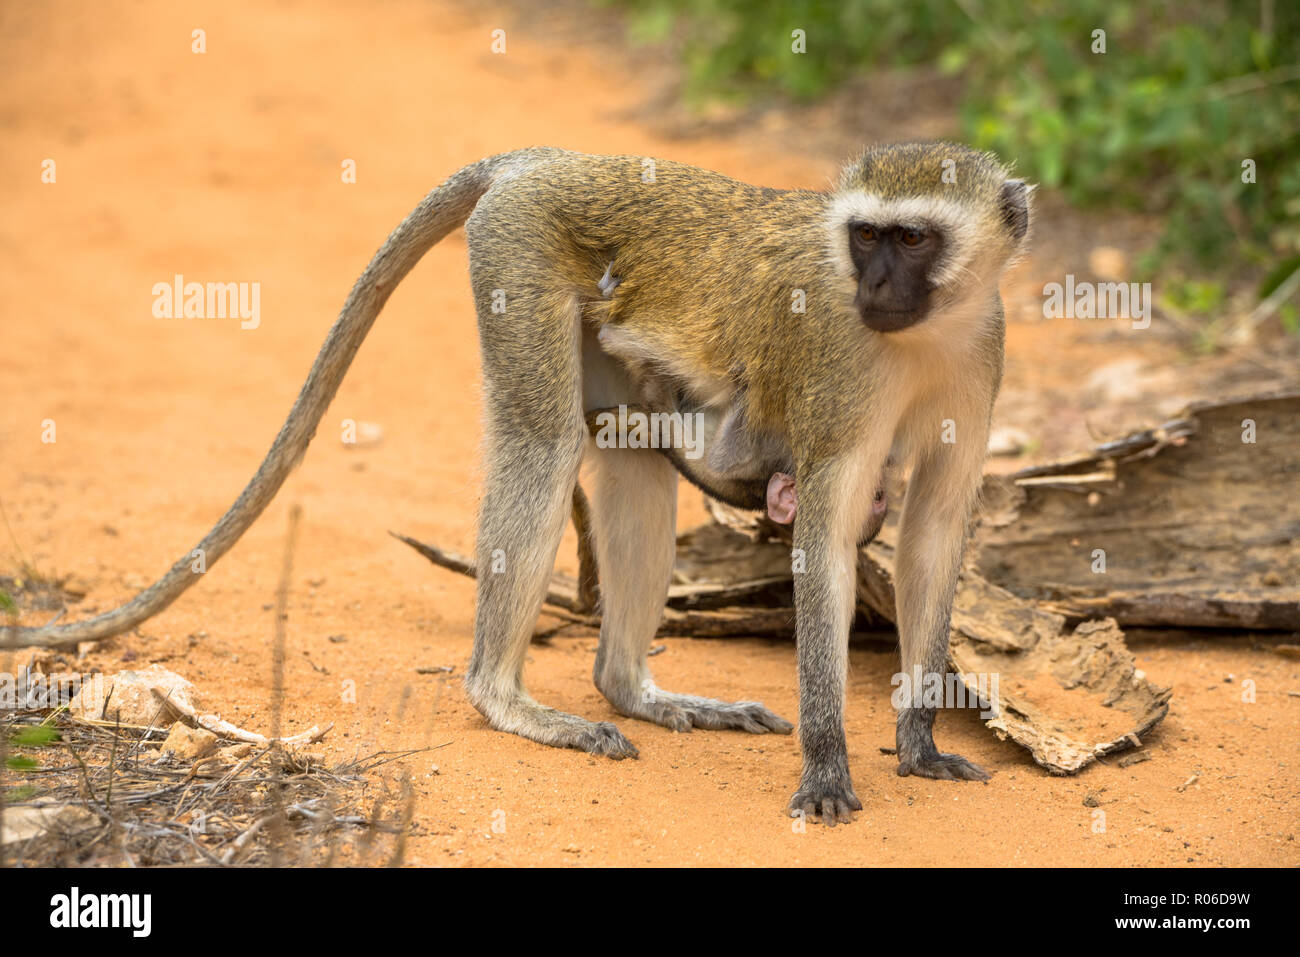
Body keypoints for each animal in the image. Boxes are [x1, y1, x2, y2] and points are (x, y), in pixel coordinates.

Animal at [7, 141, 1024, 821]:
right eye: (865, 238)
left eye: (912, 239)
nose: (874, 288)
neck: (920, 335)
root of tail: (549, 158)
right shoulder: (836, 376)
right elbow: (824, 541)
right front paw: (827, 763)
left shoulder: (984, 348)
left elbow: (933, 532)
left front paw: (920, 742)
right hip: (516, 253)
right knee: (545, 444)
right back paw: (505, 698)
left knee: (630, 465)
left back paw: (633, 688)